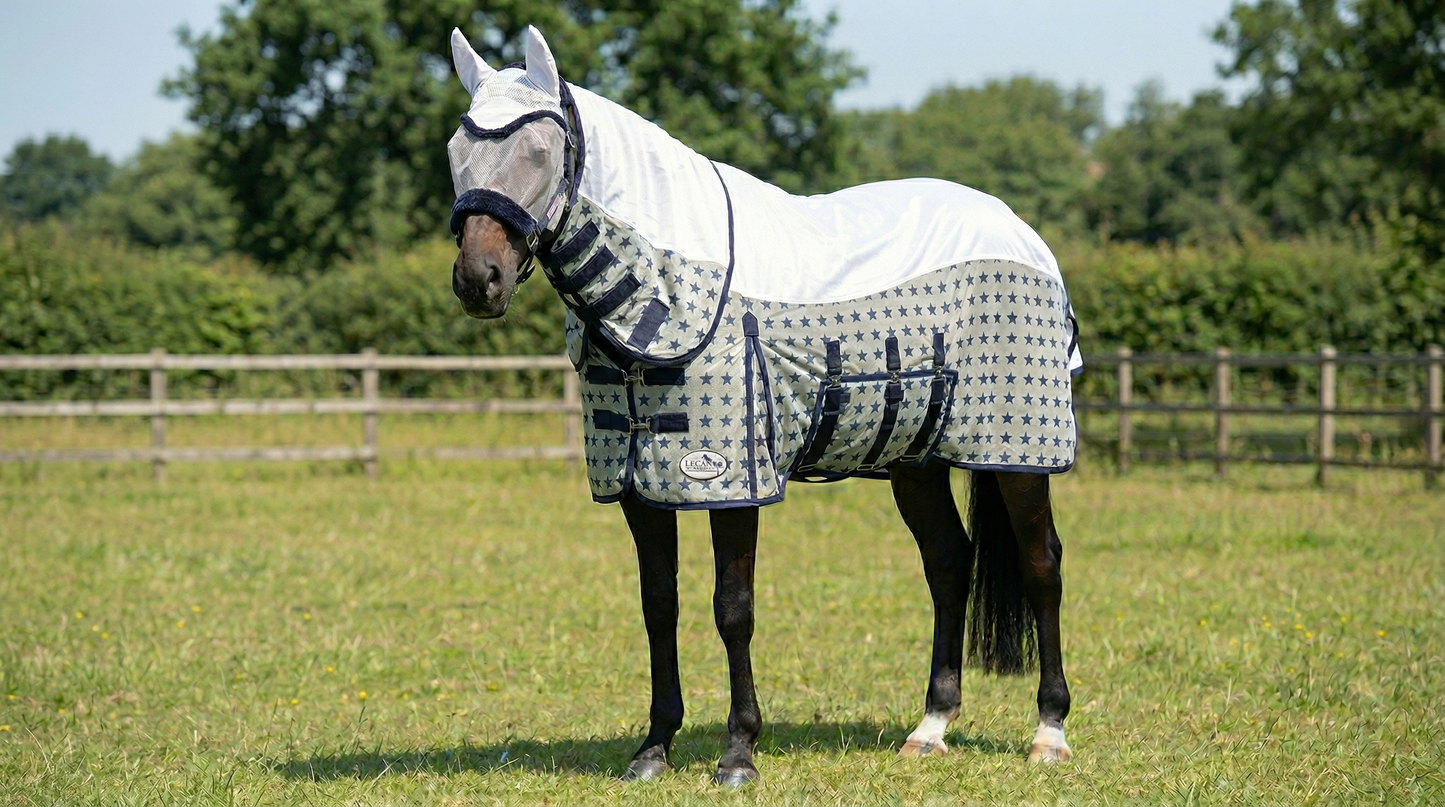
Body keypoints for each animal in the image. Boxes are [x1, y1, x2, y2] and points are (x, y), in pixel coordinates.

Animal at [444, 26, 1078, 785]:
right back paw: (930, 726)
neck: (668, 289)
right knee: (949, 563)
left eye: (538, 152)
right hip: (914, 460)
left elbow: (732, 608)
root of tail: (1022, 233)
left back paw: (1049, 731)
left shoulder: (729, 480)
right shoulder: (638, 484)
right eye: (455, 152)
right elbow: (658, 605)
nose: (478, 280)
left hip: (1018, 453)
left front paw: (738, 752)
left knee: (1042, 565)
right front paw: (653, 748)